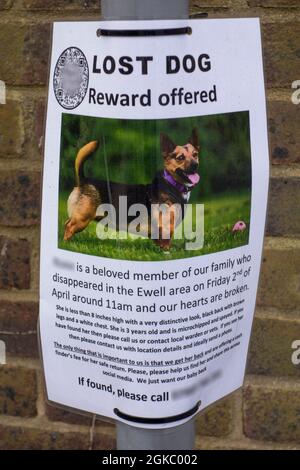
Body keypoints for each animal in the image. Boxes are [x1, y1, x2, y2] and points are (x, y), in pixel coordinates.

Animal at [63, 129, 199, 252]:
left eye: (195, 154)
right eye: (180, 157)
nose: (195, 165)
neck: (173, 185)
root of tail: (83, 180)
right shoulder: (165, 228)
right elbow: (166, 245)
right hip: (82, 219)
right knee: (69, 227)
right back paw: (67, 244)